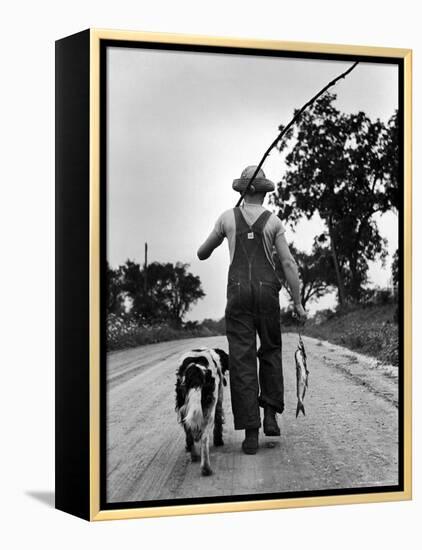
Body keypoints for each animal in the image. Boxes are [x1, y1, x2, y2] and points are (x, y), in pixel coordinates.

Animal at [174, 348, 229, 476]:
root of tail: (196, 371)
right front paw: (219, 441)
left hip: (183, 408)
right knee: (204, 438)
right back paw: (206, 468)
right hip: (209, 409)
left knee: (190, 434)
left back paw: (194, 456)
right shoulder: (218, 403)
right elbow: (219, 424)